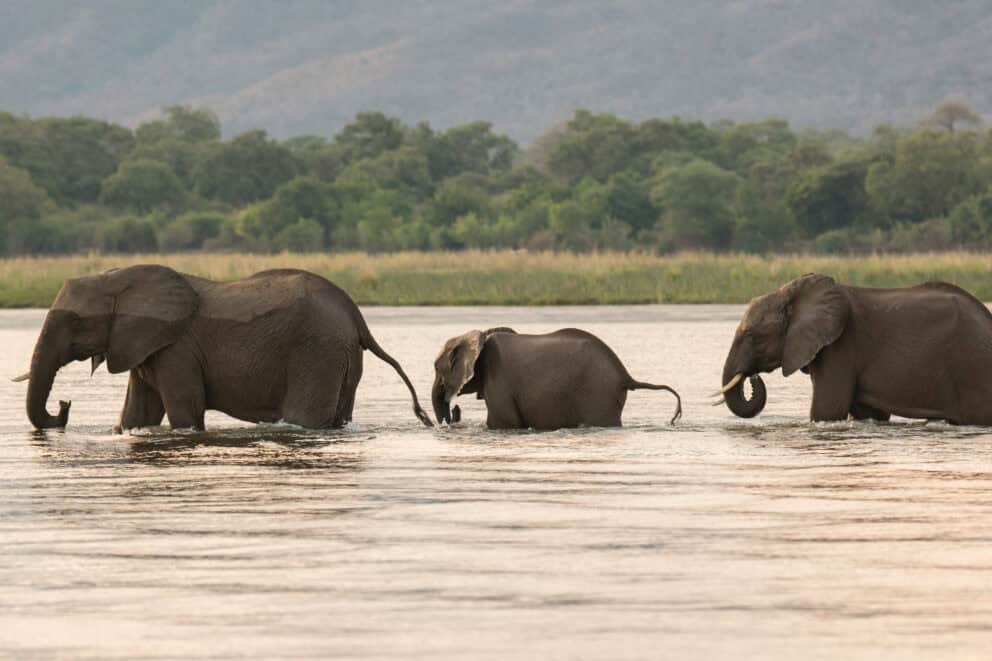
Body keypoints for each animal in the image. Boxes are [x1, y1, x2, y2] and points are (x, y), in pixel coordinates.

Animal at [17, 265, 432, 431]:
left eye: (75, 321)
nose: (65, 406)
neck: (117, 278)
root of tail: (357, 316)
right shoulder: (143, 345)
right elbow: (136, 415)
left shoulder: (177, 349)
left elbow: (185, 413)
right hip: (341, 356)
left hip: (317, 351)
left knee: (304, 416)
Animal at [431, 327, 682, 429]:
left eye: (435, 367)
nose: (453, 413)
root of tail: (625, 375)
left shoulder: (498, 380)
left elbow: (504, 423)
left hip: (598, 393)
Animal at [715, 273, 992, 425]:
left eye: (751, 335)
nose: (753, 376)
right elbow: (868, 413)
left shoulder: (842, 347)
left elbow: (827, 410)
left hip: (973, 366)